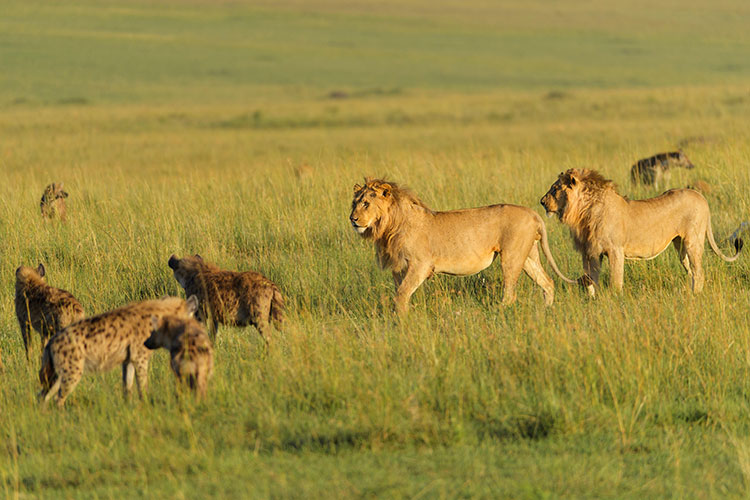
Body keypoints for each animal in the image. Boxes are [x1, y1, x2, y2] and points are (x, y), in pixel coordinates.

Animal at [352, 177, 576, 312]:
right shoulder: (399, 268)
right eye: (354, 203)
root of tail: (533, 213)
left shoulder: (421, 265)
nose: (352, 219)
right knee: (547, 282)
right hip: (528, 255)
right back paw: (547, 310)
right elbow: (400, 293)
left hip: (511, 257)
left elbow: (402, 294)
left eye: (366, 203)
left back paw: (499, 312)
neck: (388, 227)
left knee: (510, 293)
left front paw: (401, 321)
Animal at [540, 168, 748, 294]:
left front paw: (615, 300)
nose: (541, 202)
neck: (584, 211)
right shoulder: (591, 252)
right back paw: (689, 293)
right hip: (680, 247)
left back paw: (696, 296)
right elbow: (592, 280)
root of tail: (700, 196)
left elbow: (616, 280)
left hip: (693, 242)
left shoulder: (615, 250)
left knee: (699, 272)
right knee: (691, 272)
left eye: (555, 189)